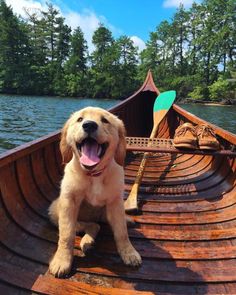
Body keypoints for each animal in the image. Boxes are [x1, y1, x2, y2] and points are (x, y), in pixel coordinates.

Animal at [47, 107, 140, 278]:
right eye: (79, 119)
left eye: (105, 120)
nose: (89, 125)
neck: (93, 175)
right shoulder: (68, 202)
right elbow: (66, 235)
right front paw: (62, 260)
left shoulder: (115, 202)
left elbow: (122, 232)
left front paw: (129, 253)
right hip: (54, 211)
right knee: (92, 225)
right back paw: (87, 242)